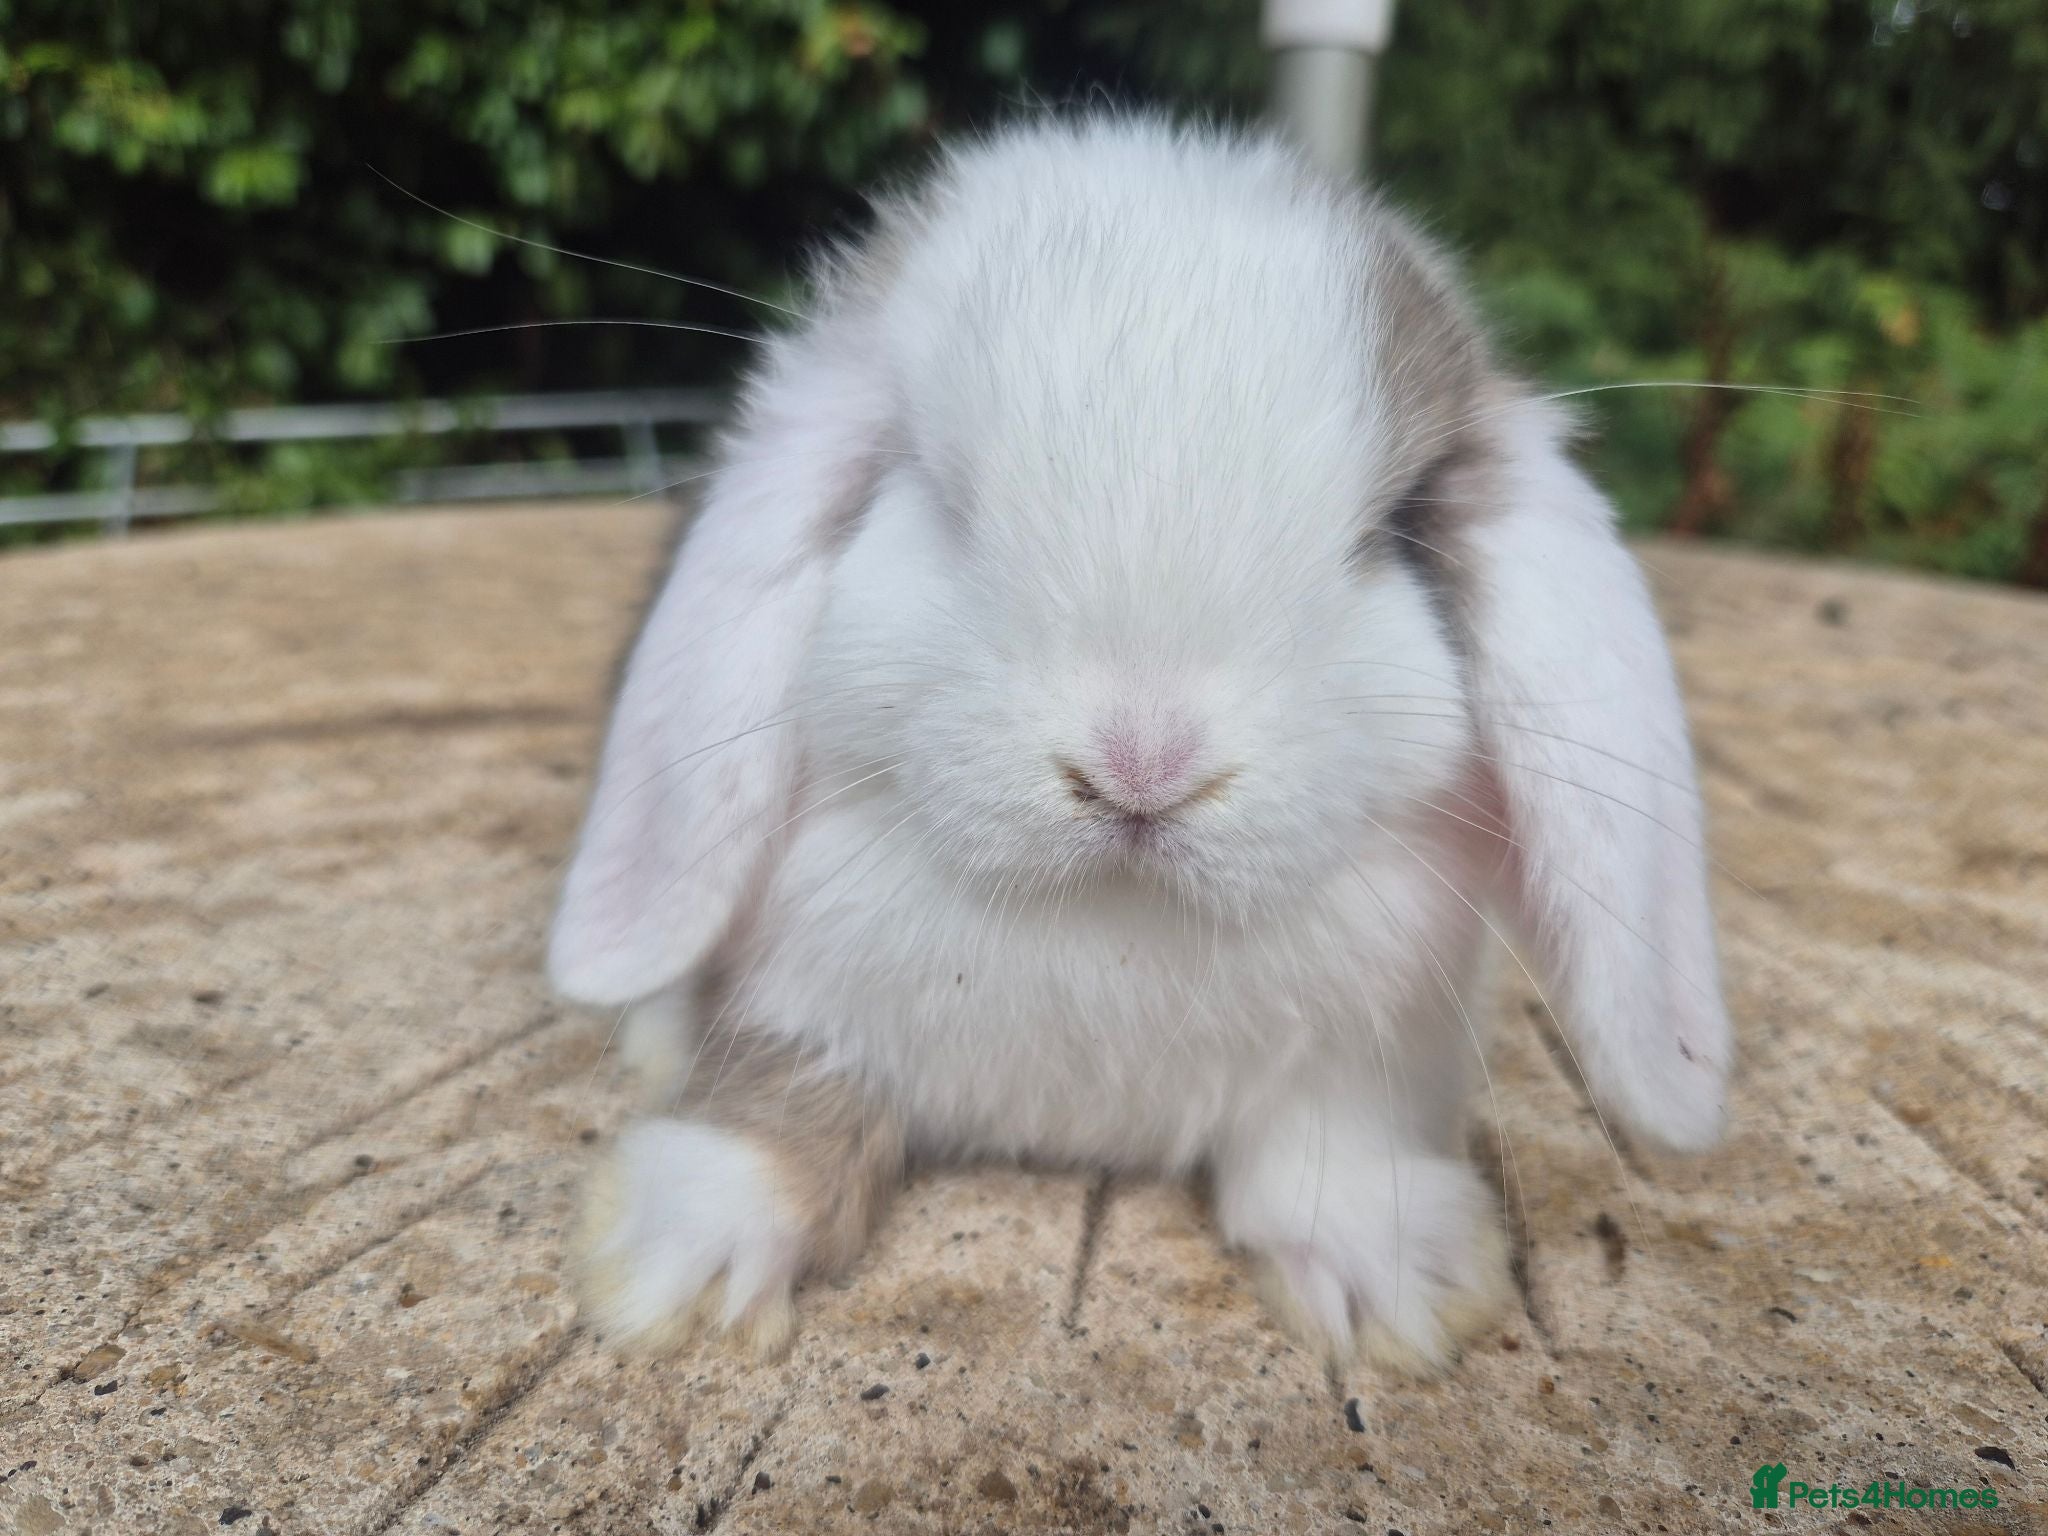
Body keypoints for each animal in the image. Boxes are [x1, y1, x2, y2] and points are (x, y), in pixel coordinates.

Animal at [548, 115, 1731, 1374]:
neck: (1113, 935)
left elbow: (1329, 1152)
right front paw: (682, 1262)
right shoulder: (796, 1000)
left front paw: (1389, 1288)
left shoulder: (1364, 1059)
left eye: (1392, 532)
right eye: (939, 501)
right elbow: (778, 1104)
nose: (1140, 764)